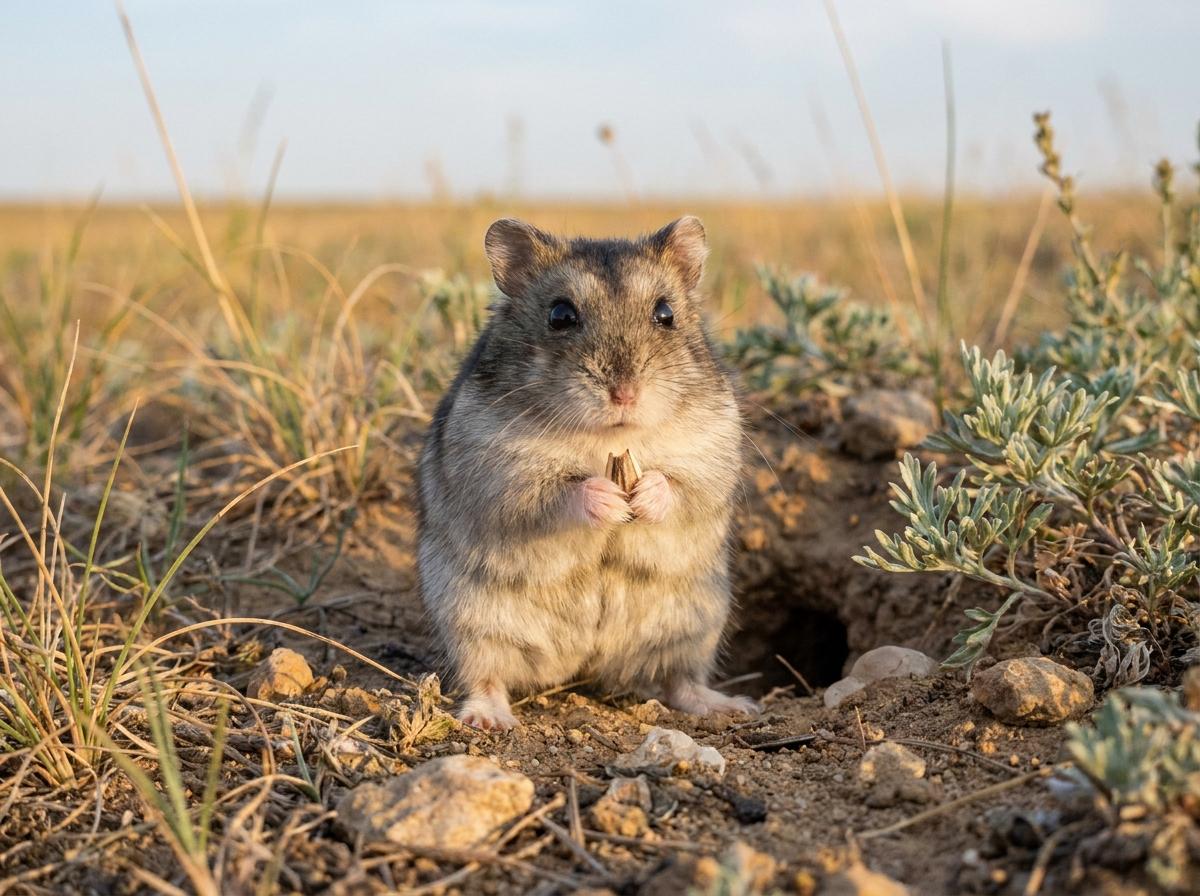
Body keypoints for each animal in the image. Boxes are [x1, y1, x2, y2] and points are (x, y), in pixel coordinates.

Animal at [417, 216, 756, 729]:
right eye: (560, 315)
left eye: (665, 313)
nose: (625, 394)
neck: (610, 437)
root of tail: (586, 661)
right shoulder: (498, 470)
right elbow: (558, 492)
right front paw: (611, 502)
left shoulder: (712, 452)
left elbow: (679, 485)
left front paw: (642, 496)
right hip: (470, 622)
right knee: (485, 677)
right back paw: (489, 718)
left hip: (697, 622)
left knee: (680, 679)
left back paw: (731, 706)